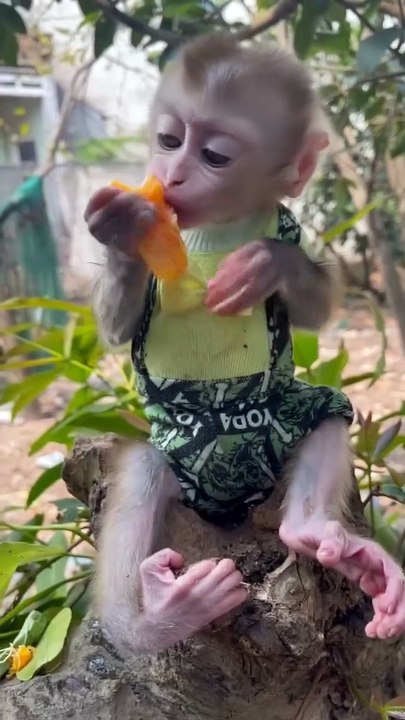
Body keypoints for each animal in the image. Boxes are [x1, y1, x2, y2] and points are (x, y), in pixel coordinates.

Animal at [85, 34, 405, 654]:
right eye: (168, 140)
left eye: (214, 156)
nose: (172, 175)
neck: (213, 230)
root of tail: (230, 509)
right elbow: (117, 329)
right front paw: (123, 231)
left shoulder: (286, 221)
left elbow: (316, 305)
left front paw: (265, 264)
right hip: (177, 467)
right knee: (143, 472)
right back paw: (151, 619)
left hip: (279, 436)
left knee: (325, 411)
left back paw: (313, 531)